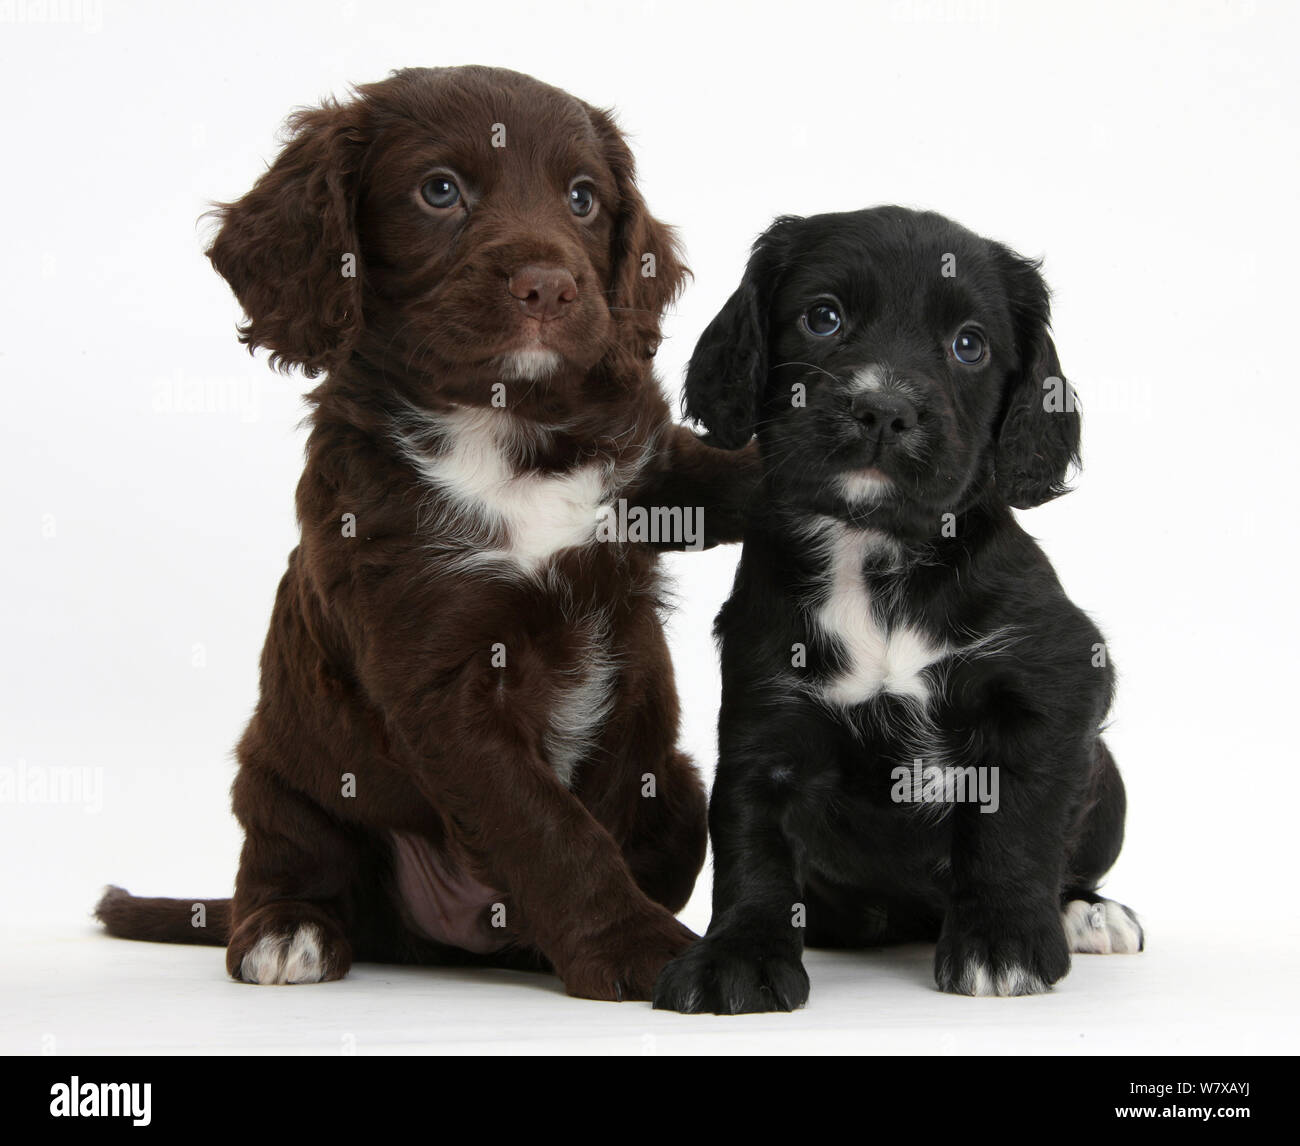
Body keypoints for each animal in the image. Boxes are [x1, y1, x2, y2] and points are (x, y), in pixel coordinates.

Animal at [96, 66, 759, 997]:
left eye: (584, 199)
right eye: (439, 191)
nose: (550, 287)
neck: (501, 425)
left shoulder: (651, 470)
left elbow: (725, 470)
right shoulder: (436, 672)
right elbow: (544, 823)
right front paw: (637, 946)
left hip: (675, 789)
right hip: (280, 779)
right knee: (281, 863)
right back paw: (287, 932)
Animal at [655, 205, 1144, 1008]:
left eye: (970, 345)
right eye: (822, 317)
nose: (881, 409)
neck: (873, 555)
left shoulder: (1052, 685)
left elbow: (1017, 821)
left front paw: (1004, 944)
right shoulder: (768, 707)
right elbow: (751, 842)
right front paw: (740, 955)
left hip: (1107, 783)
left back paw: (1086, 913)